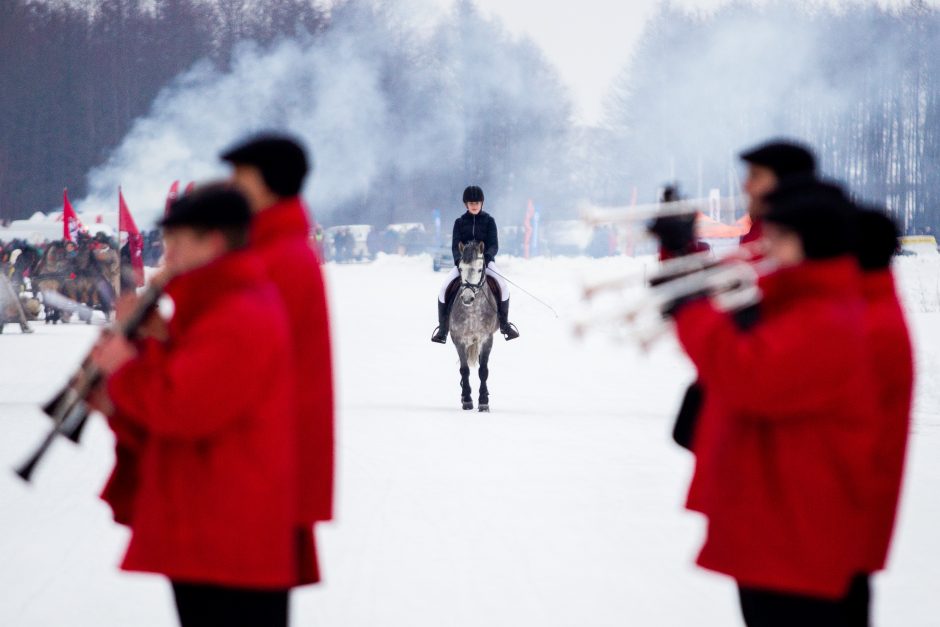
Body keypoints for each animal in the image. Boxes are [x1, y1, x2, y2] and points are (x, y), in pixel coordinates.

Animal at [448, 240, 500, 412]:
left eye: (479, 269)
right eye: (460, 268)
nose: (467, 298)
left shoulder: (486, 339)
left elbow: (483, 370)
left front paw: (483, 402)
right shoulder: (458, 339)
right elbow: (464, 370)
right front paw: (467, 400)